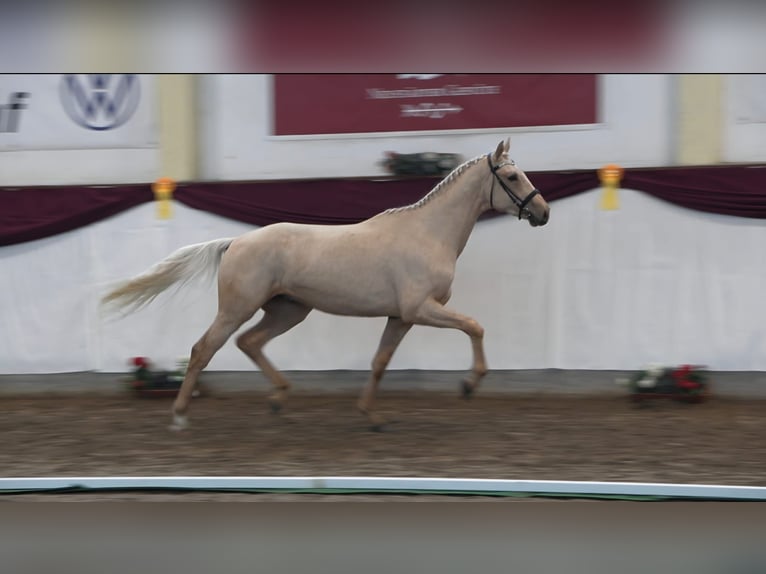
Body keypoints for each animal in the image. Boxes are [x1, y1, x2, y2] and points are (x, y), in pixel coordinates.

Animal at [102, 138, 550, 431]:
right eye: (513, 175)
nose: (543, 213)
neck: (428, 233)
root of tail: (235, 242)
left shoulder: (400, 317)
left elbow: (380, 362)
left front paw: (371, 416)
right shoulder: (420, 308)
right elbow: (475, 326)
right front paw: (469, 385)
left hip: (289, 309)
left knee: (250, 342)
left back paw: (280, 399)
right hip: (237, 308)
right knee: (203, 349)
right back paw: (179, 417)